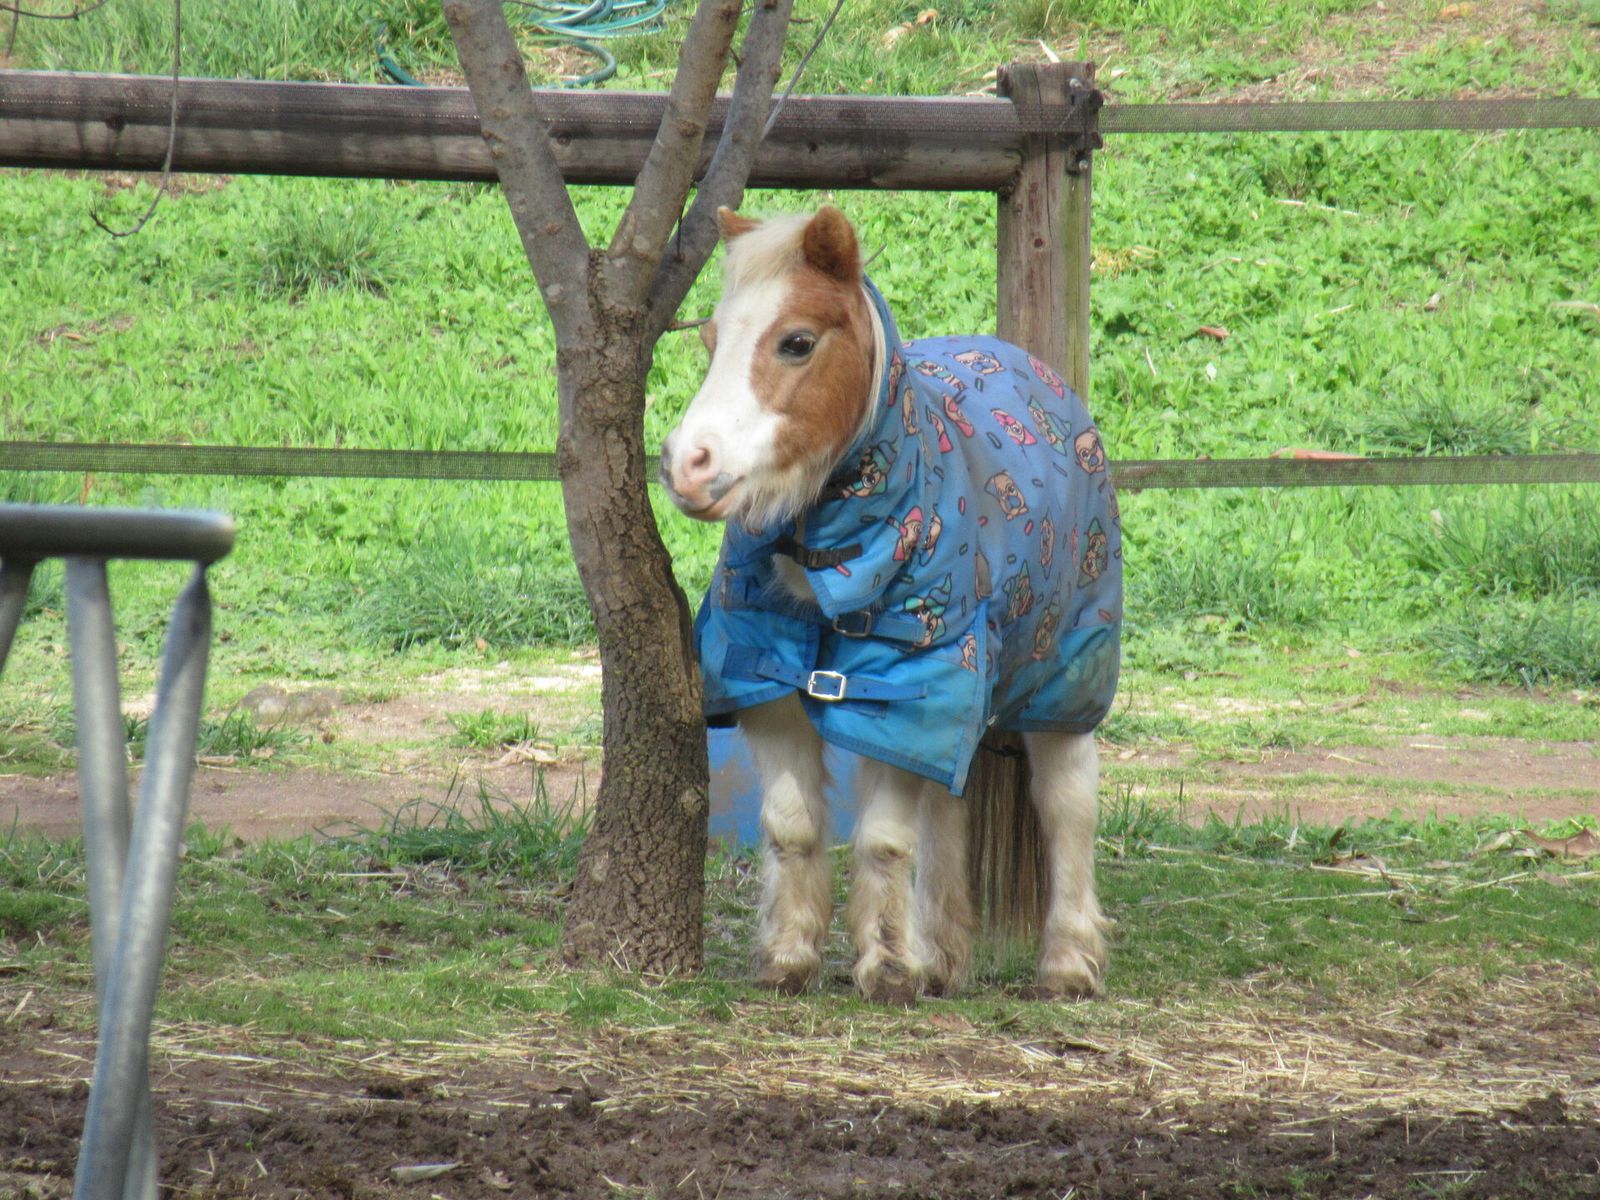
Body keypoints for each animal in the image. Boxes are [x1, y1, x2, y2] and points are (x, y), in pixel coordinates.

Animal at [661, 205, 1123, 1004]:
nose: (688, 464)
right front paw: (791, 956)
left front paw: (886, 967)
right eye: (713, 341)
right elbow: (792, 825)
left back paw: (1066, 964)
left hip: (1063, 677)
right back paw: (944, 955)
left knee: (1068, 805)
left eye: (797, 342)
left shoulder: (907, 691)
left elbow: (882, 839)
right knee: (948, 808)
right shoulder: (768, 682)